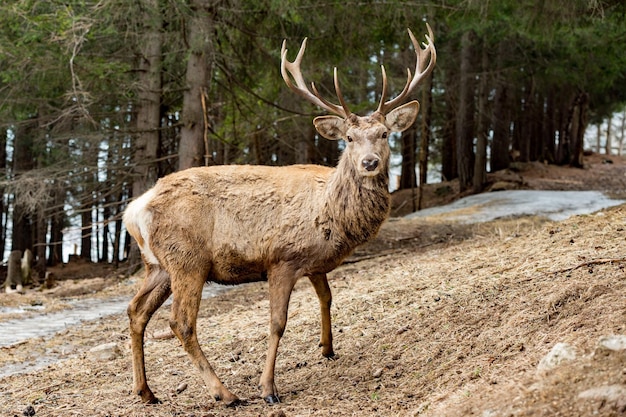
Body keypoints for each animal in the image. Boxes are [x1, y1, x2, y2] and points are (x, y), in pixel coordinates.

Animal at [122, 24, 434, 404]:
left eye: (385, 134)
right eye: (348, 137)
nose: (370, 162)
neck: (330, 212)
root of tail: (135, 209)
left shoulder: (315, 263)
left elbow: (327, 298)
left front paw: (327, 348)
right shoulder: (282, 258)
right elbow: (277, 323)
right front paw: (269, 388)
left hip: (158, 266)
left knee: (136, 311)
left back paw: (145, 391)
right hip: (187, 259)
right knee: (180, 322)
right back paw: (225, 393)